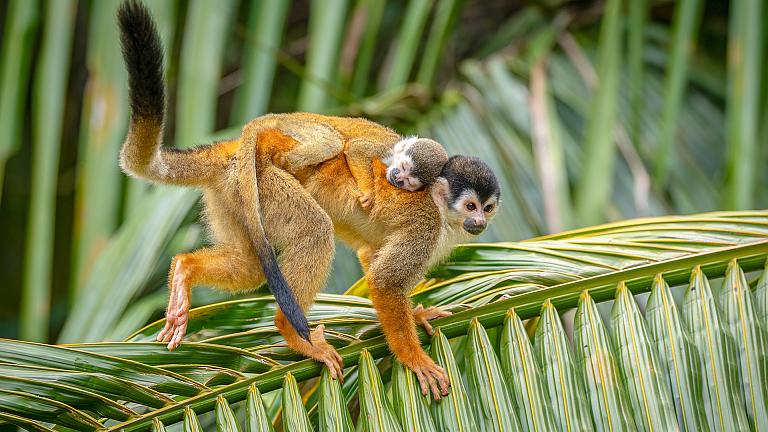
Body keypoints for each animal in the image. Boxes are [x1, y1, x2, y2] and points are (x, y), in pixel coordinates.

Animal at [117, 0, 500, 400]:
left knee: (251, 267)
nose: (479, 222)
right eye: (470, 207)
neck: (442, 215)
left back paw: (185, 269)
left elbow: (371, 256)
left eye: (487, 208)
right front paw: (414, 358)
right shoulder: (424, 227)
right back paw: (292, 331)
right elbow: (385, 283)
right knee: (314, 228)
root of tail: (235, 150)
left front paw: (418, 315)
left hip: (234, 196)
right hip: (267, 184)